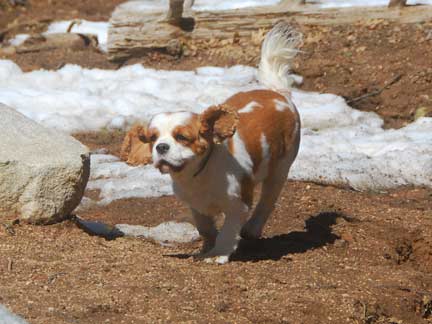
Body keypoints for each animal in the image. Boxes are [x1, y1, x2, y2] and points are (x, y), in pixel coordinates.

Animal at [140, 22, 302, 264]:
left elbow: (228, 230)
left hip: (280, 168)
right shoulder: (195, 205)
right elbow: (205, 226)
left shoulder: (238, 205)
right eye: (153, 138)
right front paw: (207, 246)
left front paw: (218, 254)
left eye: (182, 137)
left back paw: (252, 229)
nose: (161, 147)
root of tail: (277, 93)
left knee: (268, 200)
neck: (198, 175)